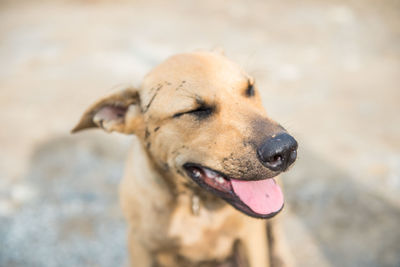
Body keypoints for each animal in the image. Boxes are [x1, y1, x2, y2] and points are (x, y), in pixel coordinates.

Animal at [72, 51, 296, 266]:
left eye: (249, 89)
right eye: (196, 110)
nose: (285, 150)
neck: (195, 204)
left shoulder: (251, 237)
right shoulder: (140, 246)